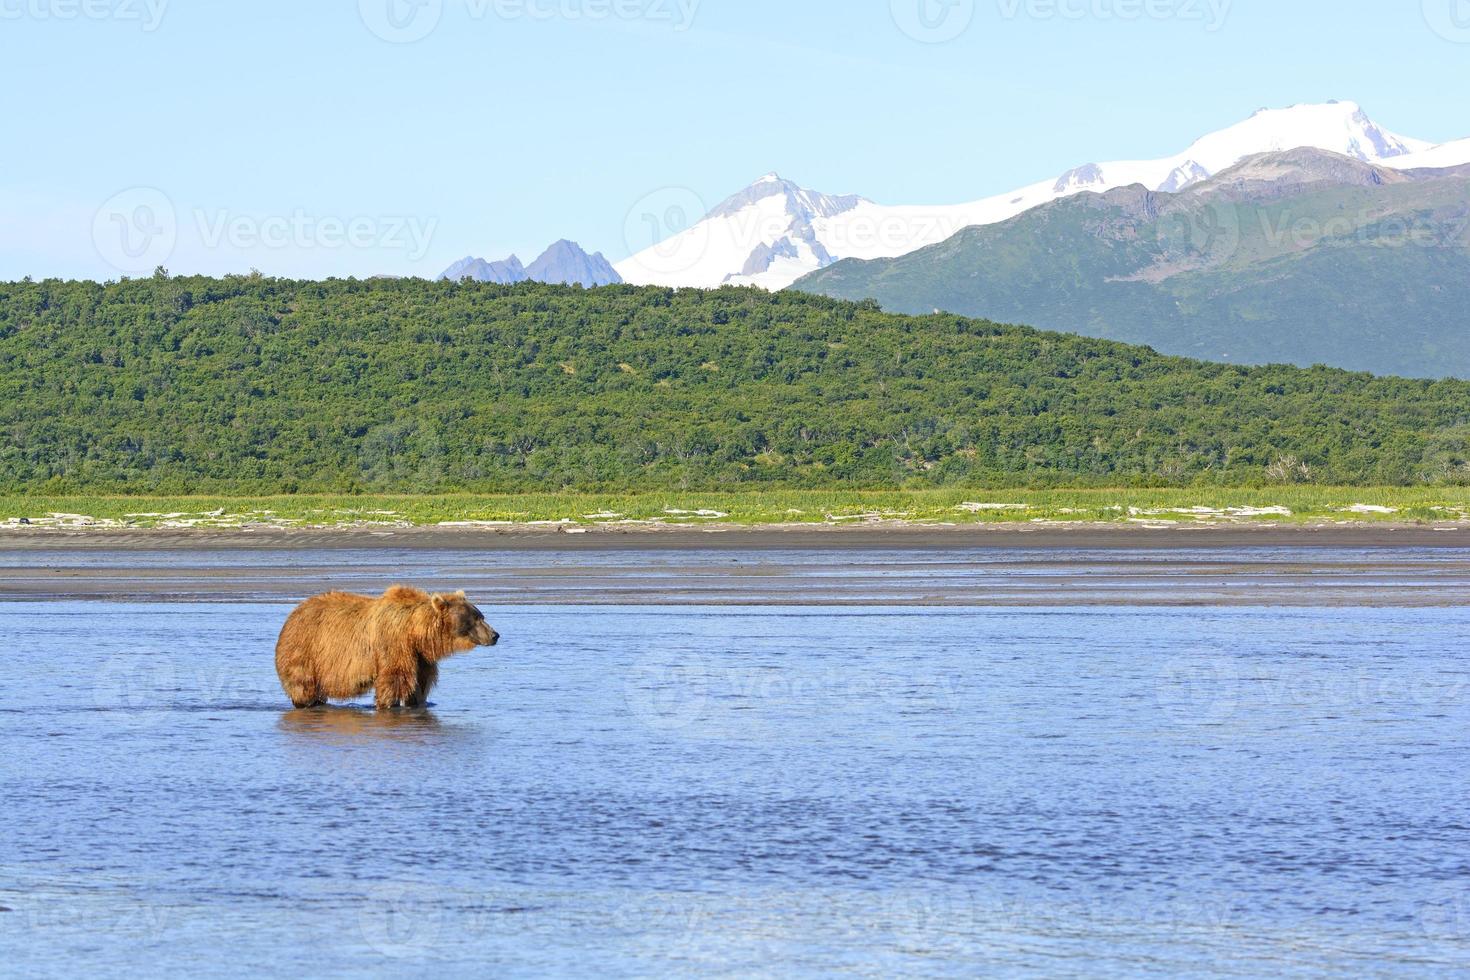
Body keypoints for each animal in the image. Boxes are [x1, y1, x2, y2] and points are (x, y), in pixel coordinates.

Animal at [276, 587, 499, 708]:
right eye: (475, 618)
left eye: (481, 615)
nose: (495, 635)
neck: (416, 632)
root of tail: (293, 614)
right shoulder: (394, 645)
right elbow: (393, 679)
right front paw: (387, 704)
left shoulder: (420, 657)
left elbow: (420, 684)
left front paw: (416, 702)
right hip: (305, 652)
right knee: (303, 688)